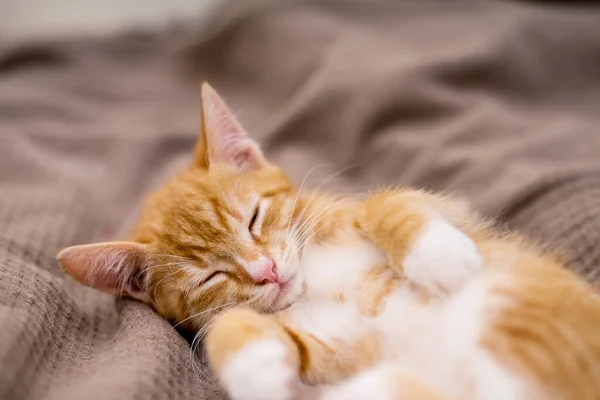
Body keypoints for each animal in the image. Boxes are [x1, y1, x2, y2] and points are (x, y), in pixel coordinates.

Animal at [59, 83, 600, 400]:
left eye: (254, 218)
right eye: (211, 276)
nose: (266, 271)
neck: (312, 275)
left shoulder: (449, 211)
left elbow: (386, 202)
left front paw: (438, 255)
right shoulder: (335, 352)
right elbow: (235, 327)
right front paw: (253, 367)